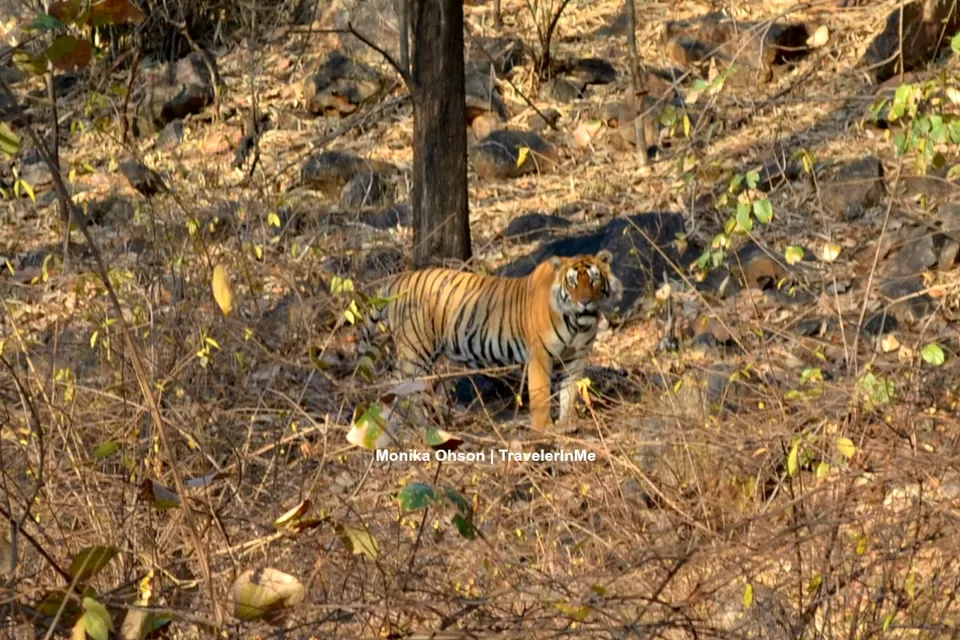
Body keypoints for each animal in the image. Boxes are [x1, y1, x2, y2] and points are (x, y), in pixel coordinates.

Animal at [359, 250, 623, 430]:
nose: (585, 302)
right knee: (403, 387)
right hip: (415, 350)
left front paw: (566, 425)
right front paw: (543, 429)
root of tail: (399, 279)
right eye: (572, 282)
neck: (577, 323)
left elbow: (569, 393)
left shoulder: (575, 359)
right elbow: (541, 395)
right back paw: (420, 426)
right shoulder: (540, 356)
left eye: (594, 280)